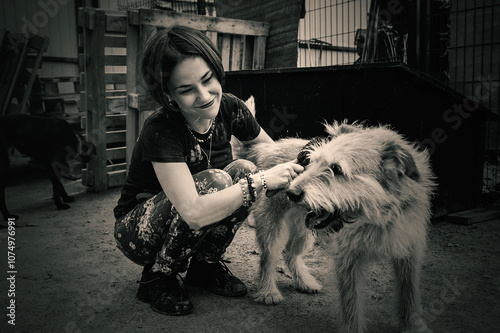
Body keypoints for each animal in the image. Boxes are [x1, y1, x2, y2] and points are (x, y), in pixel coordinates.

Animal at [240, 122, 436, 332]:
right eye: (312, 162)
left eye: (337, 168)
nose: (291, 192)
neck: (377, 218)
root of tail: (270, 147)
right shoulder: (347, 259)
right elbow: (351, 301)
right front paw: (352, 328)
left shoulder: (409, 252)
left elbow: (409, 292)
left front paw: (413, 326)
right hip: (272, 225)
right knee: (269, 256)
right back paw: (267, 291)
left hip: (304, 234)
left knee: (290, 253)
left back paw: (305, 282)